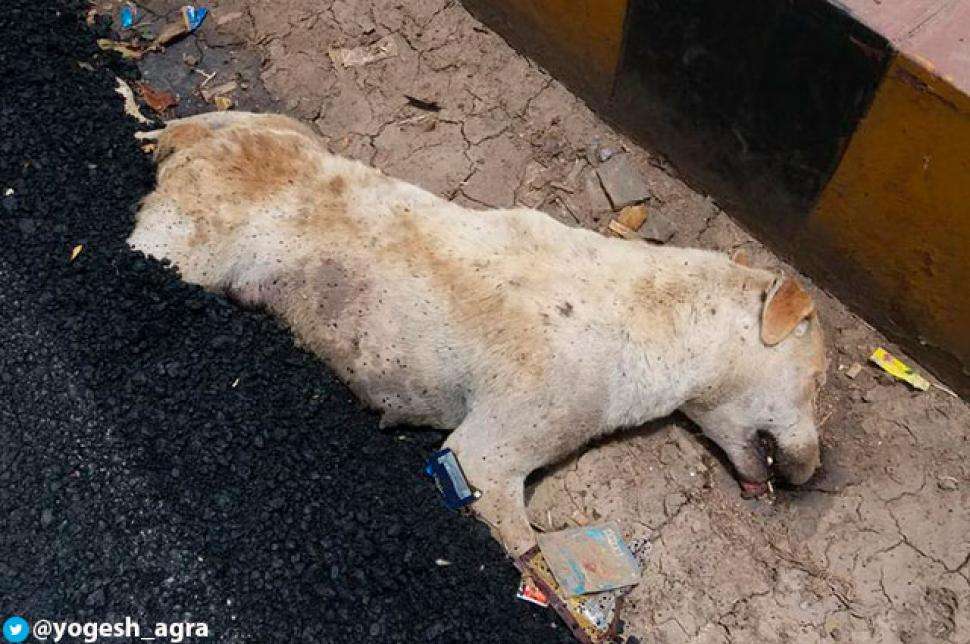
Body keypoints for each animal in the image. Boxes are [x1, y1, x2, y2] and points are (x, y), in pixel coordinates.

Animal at [126, 110, 824, 552]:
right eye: (817, 382)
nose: (815, 471)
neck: (656, 322)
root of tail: (198, 149)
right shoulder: (485, 458)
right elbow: (528, 554)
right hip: (178, 250)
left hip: (286, 128)